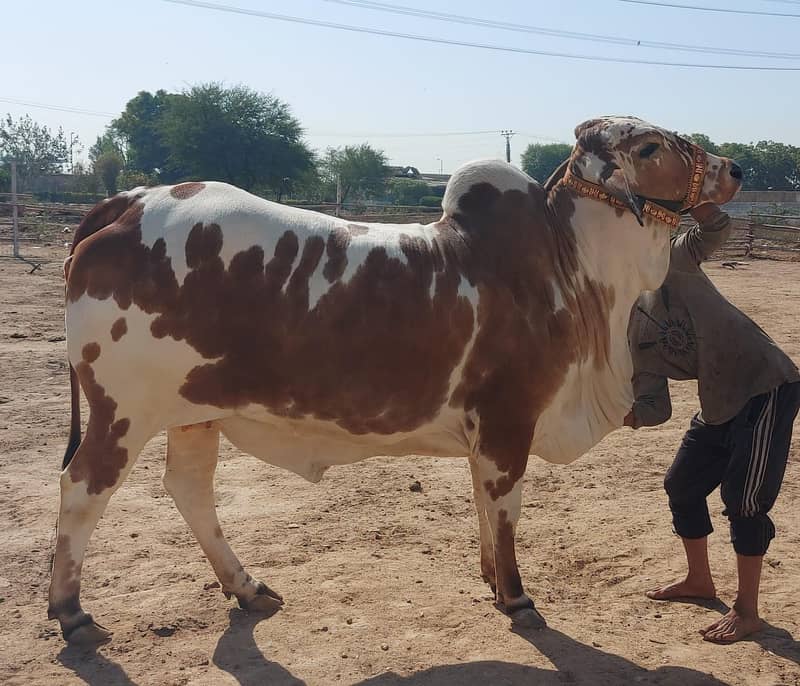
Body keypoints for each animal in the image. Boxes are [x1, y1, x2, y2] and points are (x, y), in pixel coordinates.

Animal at [47, 115, 740, 644]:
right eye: (648, 146)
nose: (734, 169)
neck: (570, 266)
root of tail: (128, 202)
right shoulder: (507, 422)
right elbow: (506, 510)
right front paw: (516, 597)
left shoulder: (484, 434)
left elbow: (484, 507)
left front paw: (491, 579)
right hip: (124, 413)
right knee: (82, 490)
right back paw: (71, 612)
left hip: (194, 411)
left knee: (189, 490)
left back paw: (247, 588)